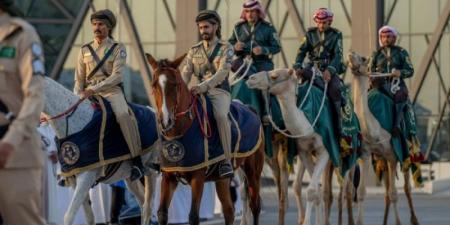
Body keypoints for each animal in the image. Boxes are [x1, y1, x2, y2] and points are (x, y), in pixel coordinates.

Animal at [40, 77, 160, 225]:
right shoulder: (74, 180)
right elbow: (89, 217)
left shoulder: (86, 178)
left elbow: (69, 216)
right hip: (130, 178)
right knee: (143, 205)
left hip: (152, 171)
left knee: (149, 207)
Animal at [146, 53, 266, 225]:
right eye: (154, 84)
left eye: (175, 85)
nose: (165, 121)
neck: (182, 129)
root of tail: (251, 109)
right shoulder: (168, 177)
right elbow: (162, 213)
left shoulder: (198, 178)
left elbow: (193, 216)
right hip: (222, 179)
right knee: (229, 210)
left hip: (253, 171)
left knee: (255, 205)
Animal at [348, 51, 422, 225]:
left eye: (362, 58)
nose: (350, 53)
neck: (373, 129)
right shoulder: (366, 154)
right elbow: (361, 192)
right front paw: (359, 221)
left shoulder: (392, 155)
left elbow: (395, 193)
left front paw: (399, 222)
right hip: (380, 159)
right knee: (387, 192)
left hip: (406, 151)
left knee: (406, 188)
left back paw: (414, 219)